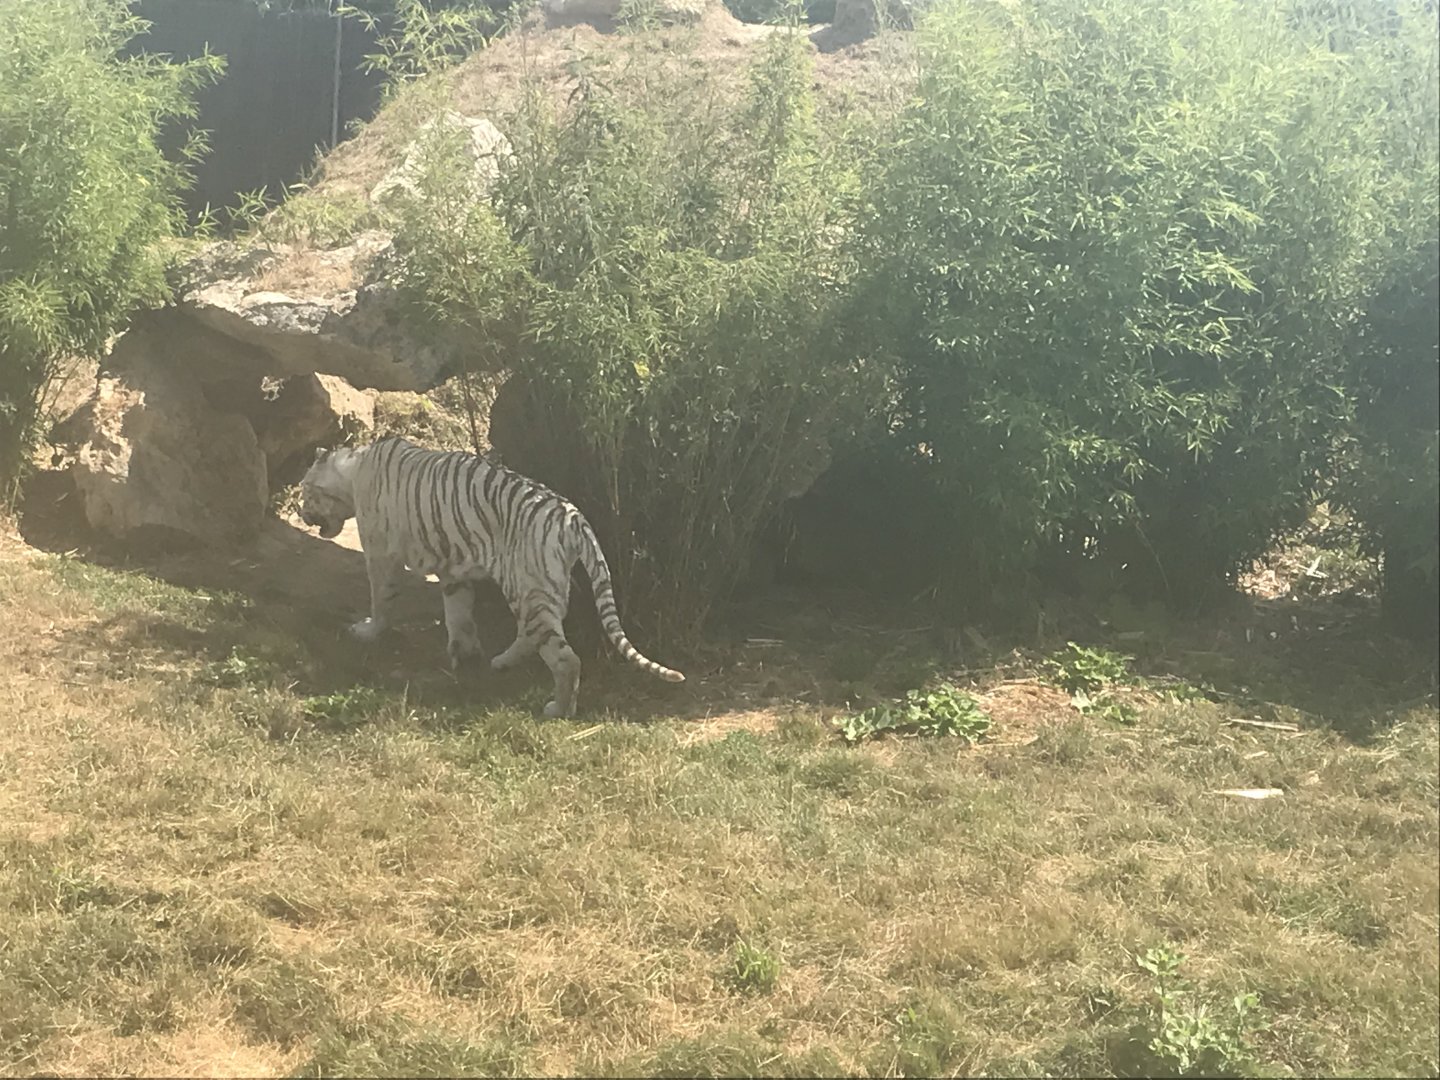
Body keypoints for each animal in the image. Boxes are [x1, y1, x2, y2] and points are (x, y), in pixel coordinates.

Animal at [297, 435, 684, 718]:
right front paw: (464, 654)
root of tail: (573, 517)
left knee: (565, 658)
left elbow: (381, 598)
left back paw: (558, 709)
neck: (353, 470)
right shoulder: (453, 571)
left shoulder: (380, 554)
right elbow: (459, 615)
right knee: (533, 635)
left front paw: (368, 631)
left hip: (528, 589)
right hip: (541, 589)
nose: (300, 513)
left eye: (304, 491)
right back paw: (501, 662)